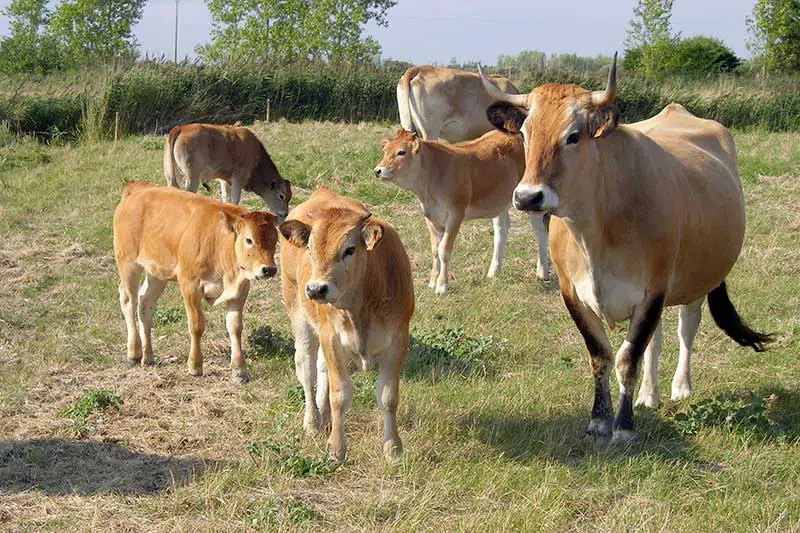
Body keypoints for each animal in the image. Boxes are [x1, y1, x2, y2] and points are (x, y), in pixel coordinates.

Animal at [113, 182, 279, 384]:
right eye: (249, 240)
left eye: (275, 239)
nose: (269, 269)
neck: (219, 243)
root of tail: (138, 188)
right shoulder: (189, 285)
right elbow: (197, 325)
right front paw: (195, 366)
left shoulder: (240, 290)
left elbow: (235, 327)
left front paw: (239, 371)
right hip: (128, 263)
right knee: (128, 301)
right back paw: (134, 353)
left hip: (156, 273)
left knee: (145, 304)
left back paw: (148, 356)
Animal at [163, 123, 292, 222]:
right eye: (281, 196)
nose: (285, 213)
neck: (256, 155)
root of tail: (182, 128)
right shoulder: (238, 178)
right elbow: (235, 200)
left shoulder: (225, 180)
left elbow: (226, 198)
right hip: (192, 178)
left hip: (174, 176)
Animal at [279, 188, 415, 462]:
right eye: (310, 249)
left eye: (349, 250)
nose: (316, 289)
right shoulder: (332, 338)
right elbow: (340, 394)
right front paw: (336, 448)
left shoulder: (398, 339)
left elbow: (388, 396)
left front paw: (393, 448)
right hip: (299, 315)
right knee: (306, 368)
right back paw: (312, 421)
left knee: (321, 369)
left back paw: (323, 415)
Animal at [373, 129, 549, 295]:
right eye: (385, 150)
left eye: (401, 152)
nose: (377, 170)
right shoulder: (430, 217)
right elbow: (434, 250)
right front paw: (432, 281)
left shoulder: (455, 214)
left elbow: (443, 250)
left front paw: (442, 286)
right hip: (501, 201)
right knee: (501, 230)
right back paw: (493, 272)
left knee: (541, 232)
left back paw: (542, 272)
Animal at [479, 53, 774, 445]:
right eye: (525, 134)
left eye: (573, 136)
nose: (528, 197)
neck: (595, 233)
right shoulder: (572, 292)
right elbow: (602, 355)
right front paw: (599, 419)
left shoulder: (653, 291)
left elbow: (627, 357)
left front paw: (623, 426)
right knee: (657, 341)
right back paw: (649, 394)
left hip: (695, 279)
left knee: (686, 328)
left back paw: (681, 386)